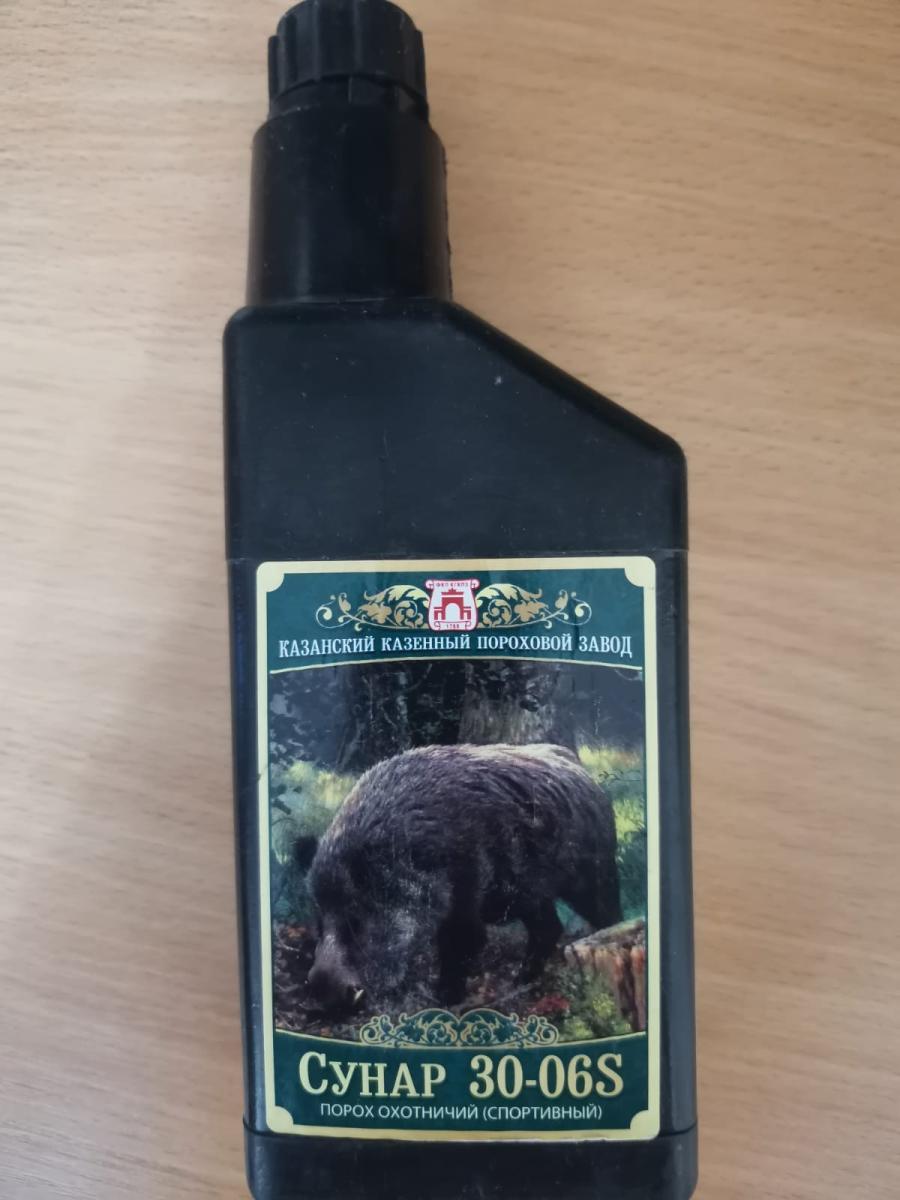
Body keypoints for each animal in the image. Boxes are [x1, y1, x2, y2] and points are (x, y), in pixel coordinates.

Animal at [296, 743, 621, 1013]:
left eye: (357, 921)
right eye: (319, 922)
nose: (324, 998)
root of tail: (588, 777)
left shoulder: (466, 895)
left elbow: (464, 944)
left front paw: (444, 1000)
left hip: (594, 875)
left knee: (604, 915)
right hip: (533, 896)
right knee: (549, 929)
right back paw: (520, 981)